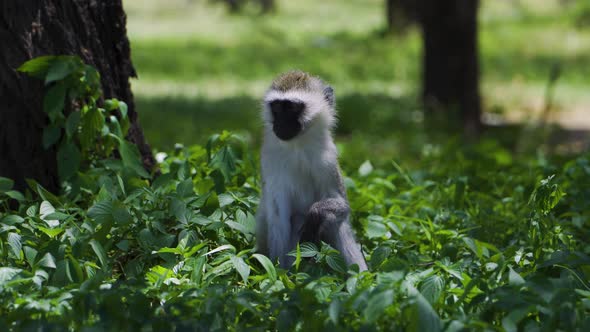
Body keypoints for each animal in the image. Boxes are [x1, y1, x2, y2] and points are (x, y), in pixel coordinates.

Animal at [256, 71, 368, 272]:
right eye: (277, 107)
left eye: (291, 107)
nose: (280, 124)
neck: (298, 145)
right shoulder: (269, 160)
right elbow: (278, 218)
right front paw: (278, 274)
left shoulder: (328, 159)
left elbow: (342, 205)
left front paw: (316, 214)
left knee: (335, 223)